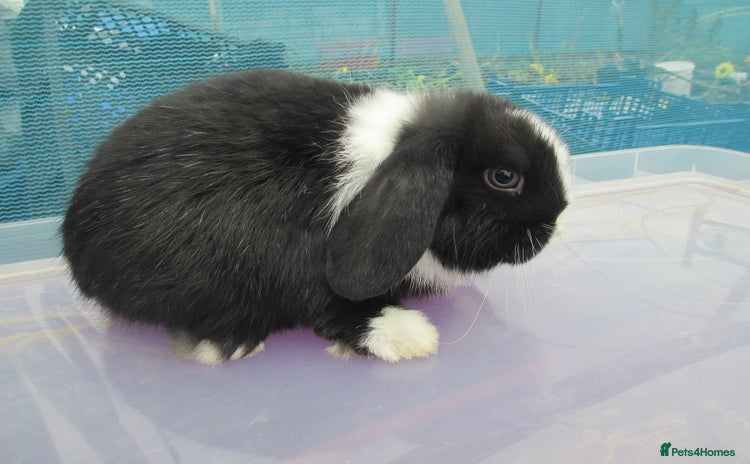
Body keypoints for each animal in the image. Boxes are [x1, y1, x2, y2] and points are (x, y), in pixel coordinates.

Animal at [62, 69, 572, 365]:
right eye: (504, 176)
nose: (558, 219)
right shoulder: (304, 273)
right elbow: (336, 313)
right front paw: (409, 336)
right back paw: (227, 344)